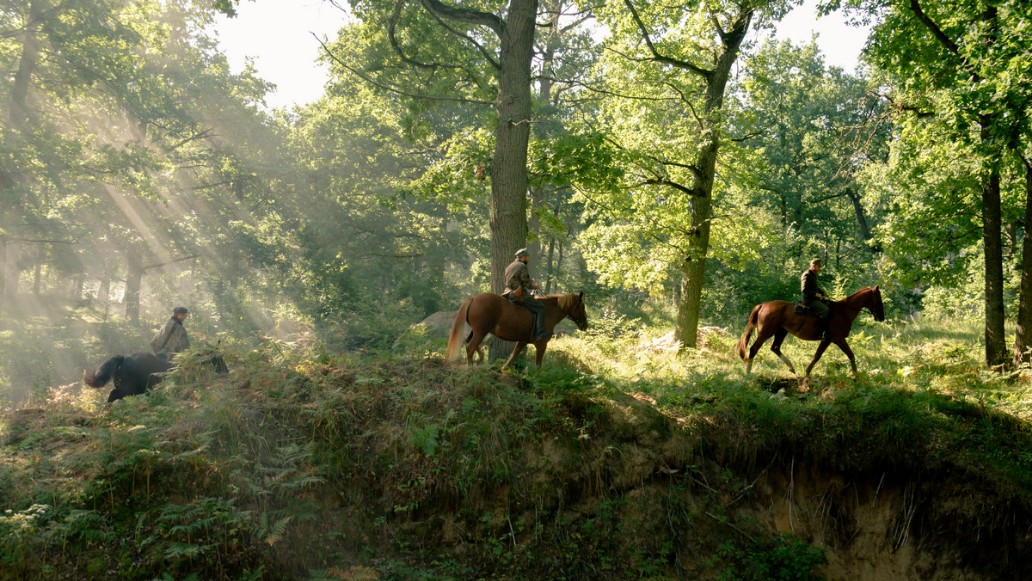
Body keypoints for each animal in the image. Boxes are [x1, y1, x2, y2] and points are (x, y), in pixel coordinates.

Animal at [445, 293, 590, 371]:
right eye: (582, 306)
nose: (585, 325)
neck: (549, 312)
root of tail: (473, 298)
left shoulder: (522, 341)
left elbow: (513, 355)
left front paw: (504, 369)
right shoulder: (542, 345)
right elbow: (538, 364)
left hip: (477, 331)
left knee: (470, 343)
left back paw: (479, 358)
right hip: (481, 331)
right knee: (470, 347)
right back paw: (470, 366)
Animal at [734, 284, 887, 383]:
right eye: (878, 299)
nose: (881, 317)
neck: (843, 311)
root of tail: (764, 305)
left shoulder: (827, 340)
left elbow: (817, 356)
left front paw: (806, 373)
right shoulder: (837, 339)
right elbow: (850, 355)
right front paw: (856, 376)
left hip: (781, 331)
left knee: (775, 348)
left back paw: (791, 367)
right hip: (766, 332)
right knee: (754, 348)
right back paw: (748, 373)